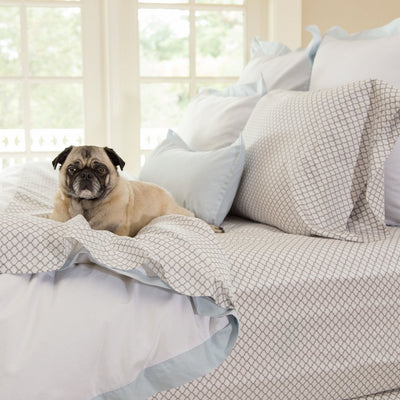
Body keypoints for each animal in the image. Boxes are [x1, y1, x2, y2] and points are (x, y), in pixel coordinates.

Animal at [49, 145, 222, 236]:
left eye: (100, 169)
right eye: (72, 169)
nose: (85, 174)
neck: (86, 205)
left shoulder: (118, 231)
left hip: (175, 213)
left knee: (196, 219)